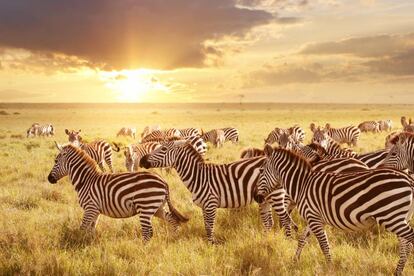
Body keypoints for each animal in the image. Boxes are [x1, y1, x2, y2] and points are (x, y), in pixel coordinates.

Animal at [47, 143, 188, 243]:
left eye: (55, 161)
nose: (49, 179)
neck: (86, 180)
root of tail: (163, 181)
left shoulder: (90, 208)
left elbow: (82, 228)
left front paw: (78, 243)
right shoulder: (95, 210)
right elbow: (91, 229)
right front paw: (89, 244)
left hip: (145, 207)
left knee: (148, 231)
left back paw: (143, 250)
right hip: (157, 207)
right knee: (172, 220)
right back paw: (173, 239)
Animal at [139, 141, 294, 243]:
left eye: (164, 149)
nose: (142, 160)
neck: (198, 177)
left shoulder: (211, 204)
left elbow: (209, 227)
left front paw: (211, 246)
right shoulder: (204, 206)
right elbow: (206, 226)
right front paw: (210, 245)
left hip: (275, 195)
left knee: (285, 220)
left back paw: (288, 241)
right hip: (265, 199)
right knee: (269, 222)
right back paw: (265, 241)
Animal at [258, 146, 414, 274]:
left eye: (261, 171)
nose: (258, 198)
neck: (303, 184)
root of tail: (408, 180)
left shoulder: (313, 218)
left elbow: (324, 245)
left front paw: (330, 268)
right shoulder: (313, 218)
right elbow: (302, 239)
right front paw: (294, 261)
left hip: (391, 216)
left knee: (409, 239)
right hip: (400, 217)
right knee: (405, 245)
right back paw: (398, 271)